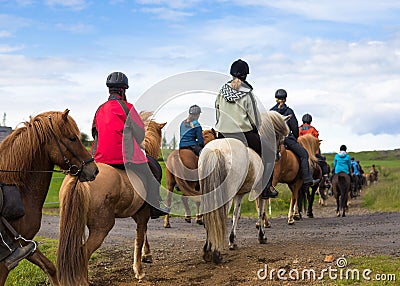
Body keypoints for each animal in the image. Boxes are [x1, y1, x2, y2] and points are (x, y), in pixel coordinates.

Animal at [0, 110, 98, 286]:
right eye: (72, 138)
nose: (94, 170)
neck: (18, 188)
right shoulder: (6, 260)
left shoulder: (25, 245)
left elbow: (50, 267)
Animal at [56, 113, 166, 284]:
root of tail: (80, 178)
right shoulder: (143, 214)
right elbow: (140, 238)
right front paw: (139, 269)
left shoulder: (139, 214)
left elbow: (143, 235)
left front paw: (146, 255)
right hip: (102, 227)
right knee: (83, 252)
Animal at [199, 111, 288, 264]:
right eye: (280, 138)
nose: (278, 155)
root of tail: (217, 149)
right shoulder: (260, 192)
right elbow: (261, 212)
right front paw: (262, 236)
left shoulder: (239, 194)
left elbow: (236, 215)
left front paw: (232, 241)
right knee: (220, 217)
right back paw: (216, 253)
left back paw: (207, 251)